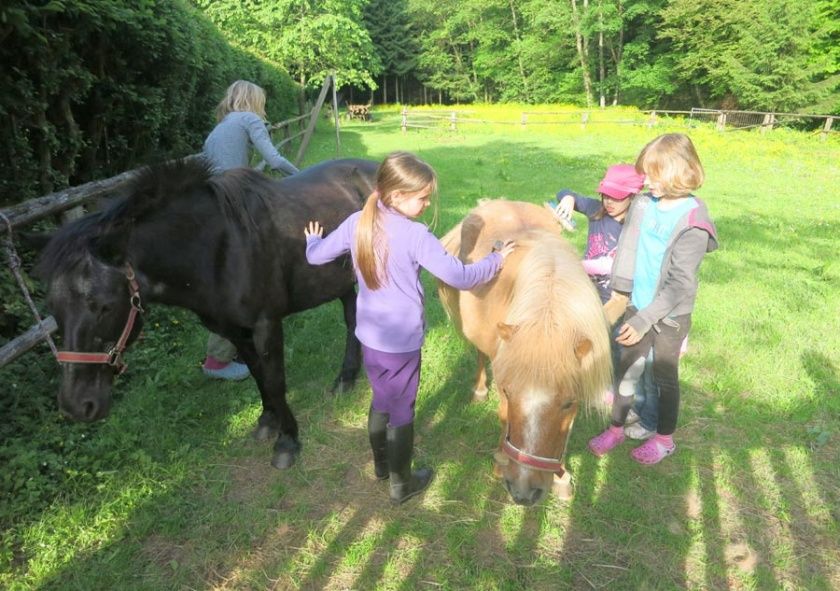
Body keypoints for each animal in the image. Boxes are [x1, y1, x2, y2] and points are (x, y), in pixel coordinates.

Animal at [35, 158, 378, 472]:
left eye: (104, 305)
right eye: (54, 309)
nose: (76, 406)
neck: (218, 249)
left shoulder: (266, 324)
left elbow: (275, 380)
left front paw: (287, 441)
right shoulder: (233, 330)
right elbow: (258, 375)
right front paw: (267, 421)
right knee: (352, 319)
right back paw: (346, 379)